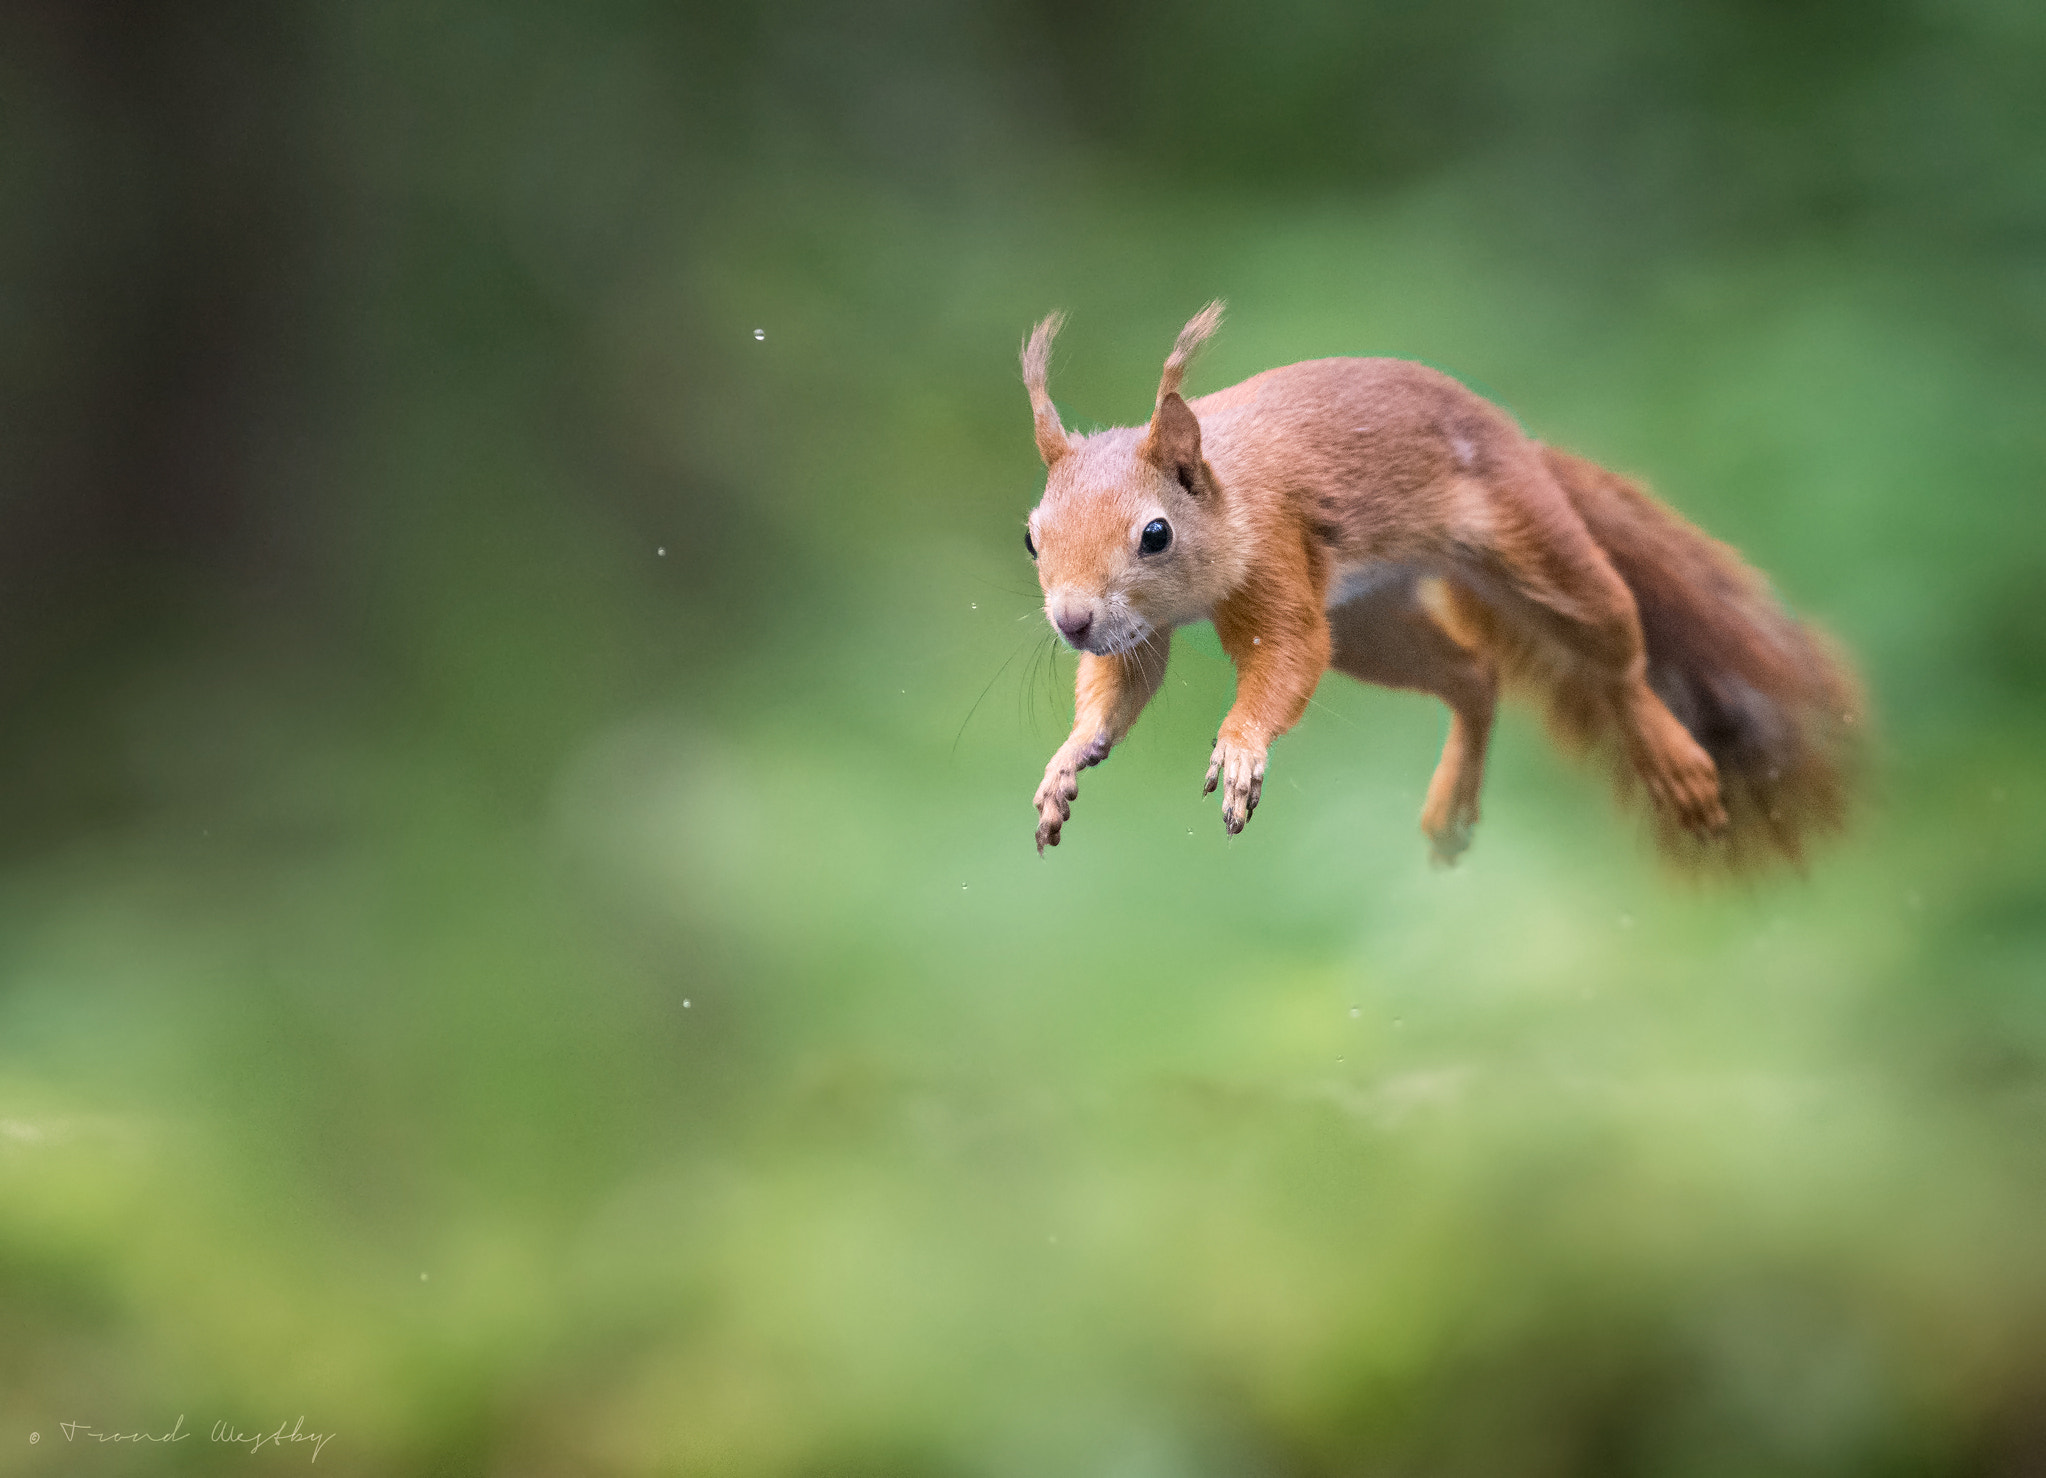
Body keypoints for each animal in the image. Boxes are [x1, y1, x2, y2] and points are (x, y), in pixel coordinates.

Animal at [1021, 302, 1862, 870]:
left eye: (1155, 534)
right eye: (1031, 535)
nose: (1071, 621)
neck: (1228, 493)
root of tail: (1522, 444)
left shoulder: (1277, 557)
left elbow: (1286, 656)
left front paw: (1240, 747)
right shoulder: (1138, 631)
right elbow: (1120, 689)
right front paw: (1066, 759)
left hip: (1541, 555)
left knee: (1618, 660)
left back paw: (1671, 757)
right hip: (1372, 626)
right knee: (1473, 676)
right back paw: (1455, 793)